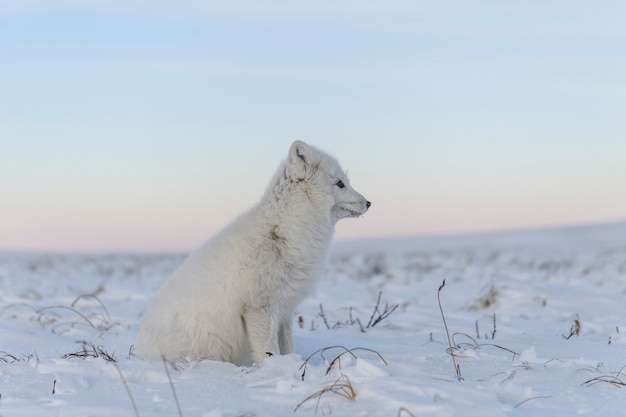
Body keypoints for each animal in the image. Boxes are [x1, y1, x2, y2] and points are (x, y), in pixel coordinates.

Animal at [135, 141, 368, 364]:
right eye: (340, 183)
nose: (369, 203)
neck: (284, 232)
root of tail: (140, 349)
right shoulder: (259, 307)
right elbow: (268, 351)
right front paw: (277, 370)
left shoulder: (285, 309)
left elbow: (287, 346)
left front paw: (293, 364)